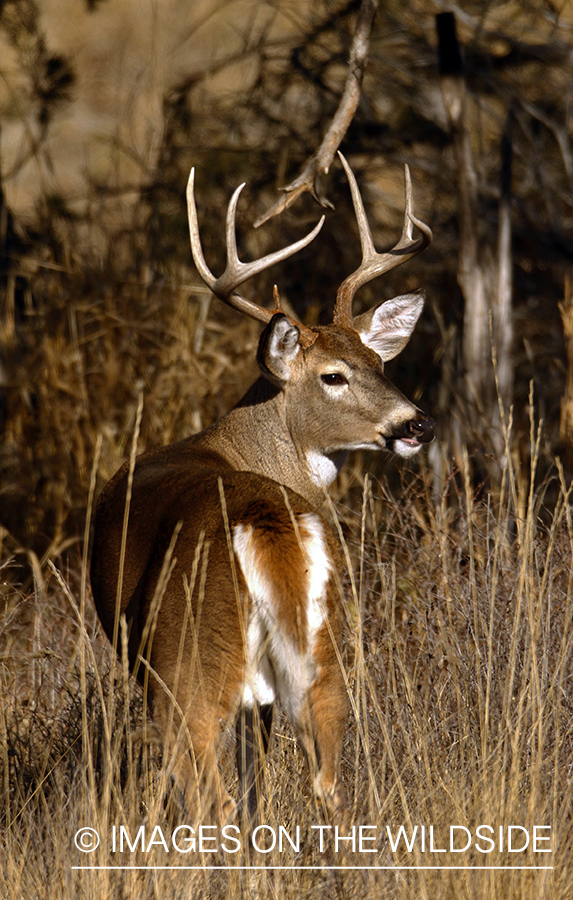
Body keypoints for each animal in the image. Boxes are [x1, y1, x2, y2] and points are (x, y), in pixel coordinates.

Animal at [89, 153, 434, 828]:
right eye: (335, 375)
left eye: (380, 364)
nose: (415, 424)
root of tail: (263, 523)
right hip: (321, 659)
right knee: (326, 785)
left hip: (184, 670)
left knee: (209, 799)